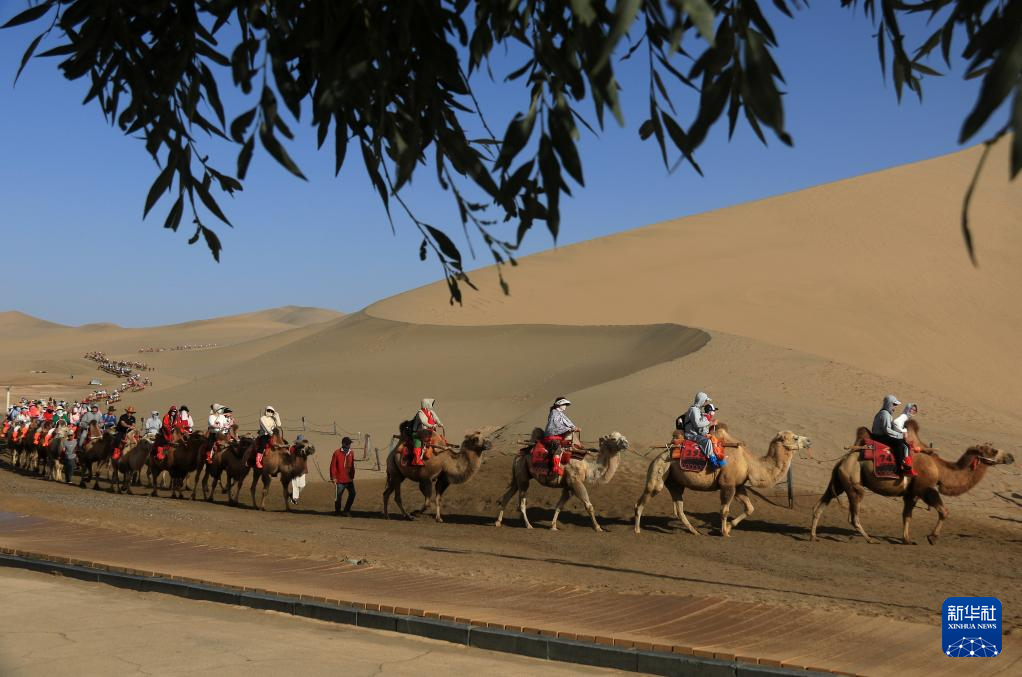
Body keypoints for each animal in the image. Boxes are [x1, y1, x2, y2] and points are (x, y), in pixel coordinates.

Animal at [494, 431, 631, 532]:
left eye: (622, 436)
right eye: (613, 438)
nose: (626, 442)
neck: (588, 468)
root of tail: (518, 455)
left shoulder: (568, 487)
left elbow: (559, 505)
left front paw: (553, 526)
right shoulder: (575, 482)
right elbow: (588, 505)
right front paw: (598, 528)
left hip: (518, 475)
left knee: (507, 496)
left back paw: (498, 522)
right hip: (523, 476)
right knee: (521, 503)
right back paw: (528, 525)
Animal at [633, 426, 812, 537]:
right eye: (795, 438)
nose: (809, 440)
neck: (749, 463)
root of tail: (658, 456)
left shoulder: (738, 486)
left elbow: (750, 508)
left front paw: (728, 527)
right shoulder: (727, 485)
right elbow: (724, 510)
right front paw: (724, 532)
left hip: (675, 482)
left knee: (679, 508)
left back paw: (694, 531)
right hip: (660, 470)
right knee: (644, 499)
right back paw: (636, 529)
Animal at [810, 420, 1016, 544]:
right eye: (993, 450)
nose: (1011, 457)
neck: (939, 468)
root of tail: (843, 460)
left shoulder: (911, 493)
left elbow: (907, 516)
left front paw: (907, 539)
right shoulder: (926, 488)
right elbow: (944, 511)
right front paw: (932, 537)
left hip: (838, 480)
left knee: (820, 505)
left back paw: (813, 536)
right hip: (854, 483)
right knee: (853, 515)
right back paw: (869, 539)